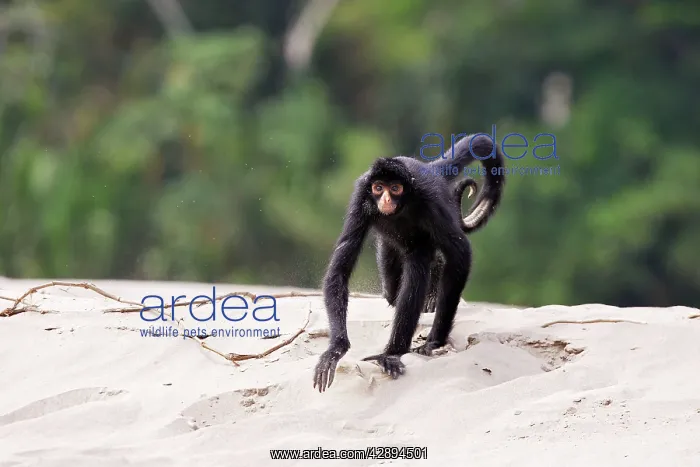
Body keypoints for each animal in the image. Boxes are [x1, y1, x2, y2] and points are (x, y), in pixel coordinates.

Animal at [313, 134, 505, 392]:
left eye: (395, 188)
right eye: (378, 188)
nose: (385, 198)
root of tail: (427, 168)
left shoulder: (431, 202)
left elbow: (460, 254)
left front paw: (434, 341)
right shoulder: (360, 199)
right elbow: (339, 272)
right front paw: (335, 351)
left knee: (417, 267)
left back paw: (391, 354)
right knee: (393, 289)